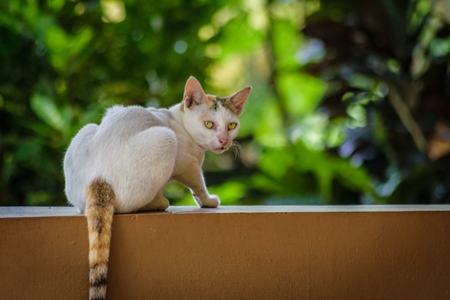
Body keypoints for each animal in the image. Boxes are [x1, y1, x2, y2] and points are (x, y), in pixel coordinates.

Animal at [62, 77, 251, 300]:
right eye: (209, 124)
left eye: (231, 125)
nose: (224, 141)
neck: (178, 120)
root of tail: (97, 179)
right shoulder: (188, 164)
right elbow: (198, 184)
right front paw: (209, 201)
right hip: (166, 138)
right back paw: (159, 202)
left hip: (88, 129)